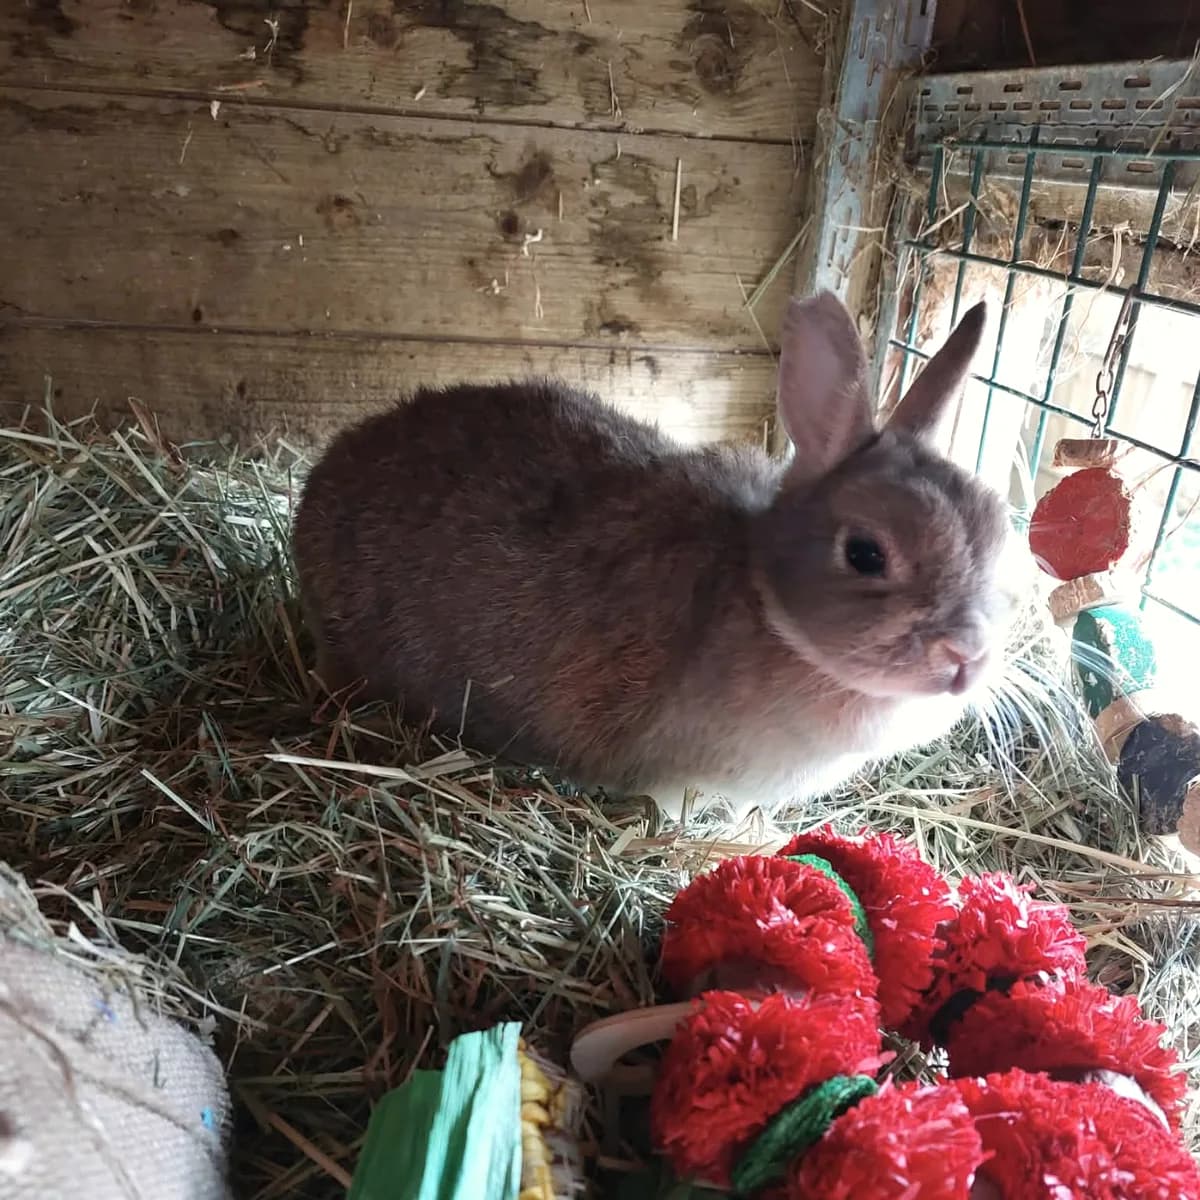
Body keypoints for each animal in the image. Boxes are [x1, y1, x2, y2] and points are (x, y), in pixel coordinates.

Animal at [293, 290, 1016, 820]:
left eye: (999, 536)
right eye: (865, 553)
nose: (966, 657)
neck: (763, 603)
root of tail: (327, 475)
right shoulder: (674, 773)